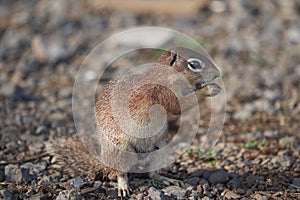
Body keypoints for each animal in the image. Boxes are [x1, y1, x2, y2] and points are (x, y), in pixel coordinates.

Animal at [46, 46, 220, 197]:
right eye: (194, 64)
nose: (218, 73)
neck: (165, 74)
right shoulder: (161, 92)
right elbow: (178, 106)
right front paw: (209, 89)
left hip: (161, 147)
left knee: (152, 173)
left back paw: (166, 179)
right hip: (120, 150)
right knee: (120, 173)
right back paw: (123, 186)